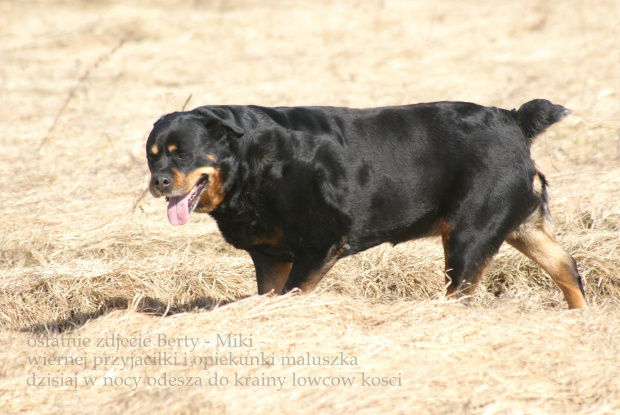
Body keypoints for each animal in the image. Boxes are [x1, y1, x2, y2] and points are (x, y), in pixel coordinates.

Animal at [145, 100, 588, 308]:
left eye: (182, 154)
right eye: (152, 156)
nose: (158, 181)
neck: (252, 161)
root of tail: (512, 120)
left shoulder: (320, 244)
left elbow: (292, 293)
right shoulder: (270, 256)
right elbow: (269, 294)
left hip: (469, 233)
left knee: (460, 290)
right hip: (521, 225)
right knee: (566, 267)